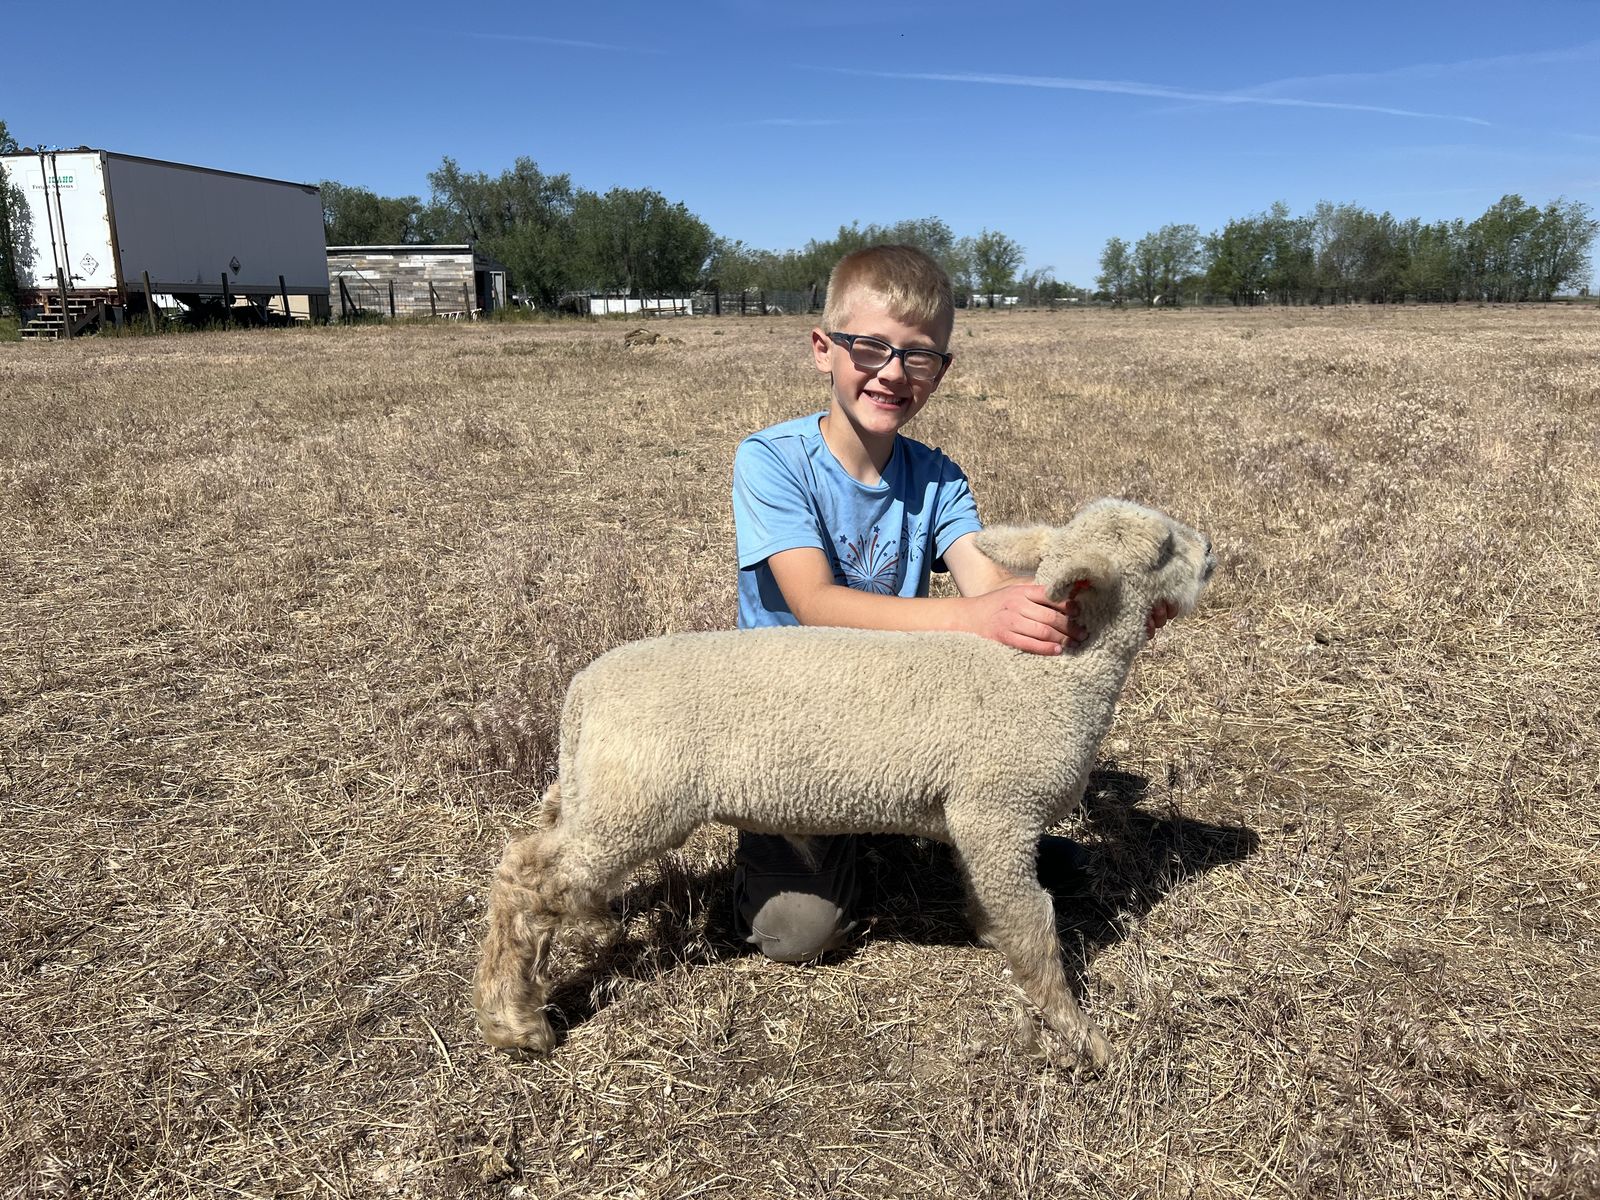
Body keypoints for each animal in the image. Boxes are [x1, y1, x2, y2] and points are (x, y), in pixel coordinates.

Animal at [473, 498, 1215, 1069]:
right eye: (1161, 549)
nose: (1210, 551)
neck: (1047, 679)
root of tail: (582, 693)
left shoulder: (976, 821)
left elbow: (995, 898)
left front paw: (988, 935)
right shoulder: (997, 809)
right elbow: (1034, 923)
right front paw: (1085, 1037)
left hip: (597, 790)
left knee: (540, 859)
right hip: (636, 798)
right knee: (526, 877)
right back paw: (514, 1023)